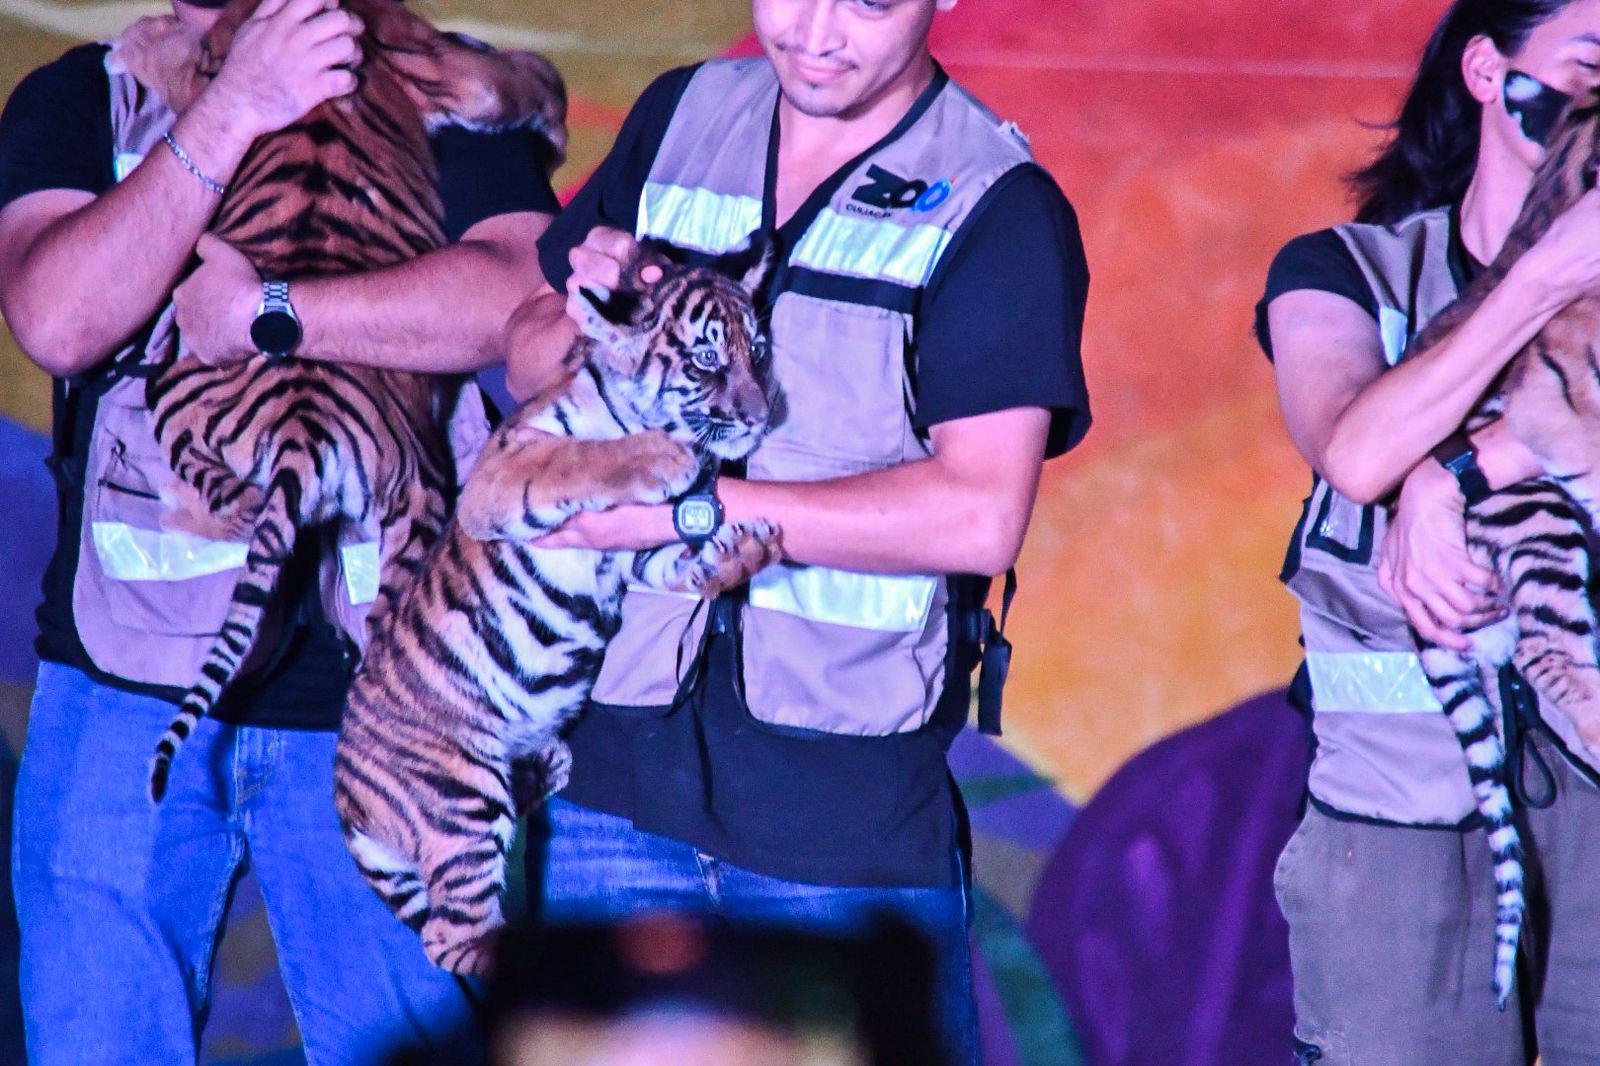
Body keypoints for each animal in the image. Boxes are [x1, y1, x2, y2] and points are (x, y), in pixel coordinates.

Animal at [332, 245, 782, 976]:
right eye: (707, 359)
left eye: (760, 352)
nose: (759, 416)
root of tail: (346, 802)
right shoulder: (500, 478)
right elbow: (575, 459)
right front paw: (659, 457)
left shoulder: (635, 554)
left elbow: (681, 558)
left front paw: (742, 551)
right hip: (461, 793)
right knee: (452, 937)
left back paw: (548, 766)